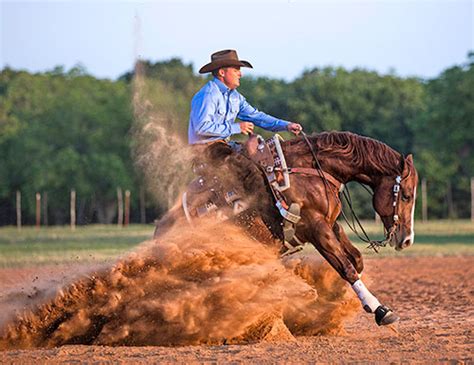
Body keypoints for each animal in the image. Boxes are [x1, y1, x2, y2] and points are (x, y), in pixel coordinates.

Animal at [156, 132, 418, 326]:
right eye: (406, 195)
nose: (407, 240)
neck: (311, 170)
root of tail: (160, 229)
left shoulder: (330, 224)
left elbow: (356, 260)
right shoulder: (316, 228)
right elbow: (346, 268)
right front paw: (381, 310)